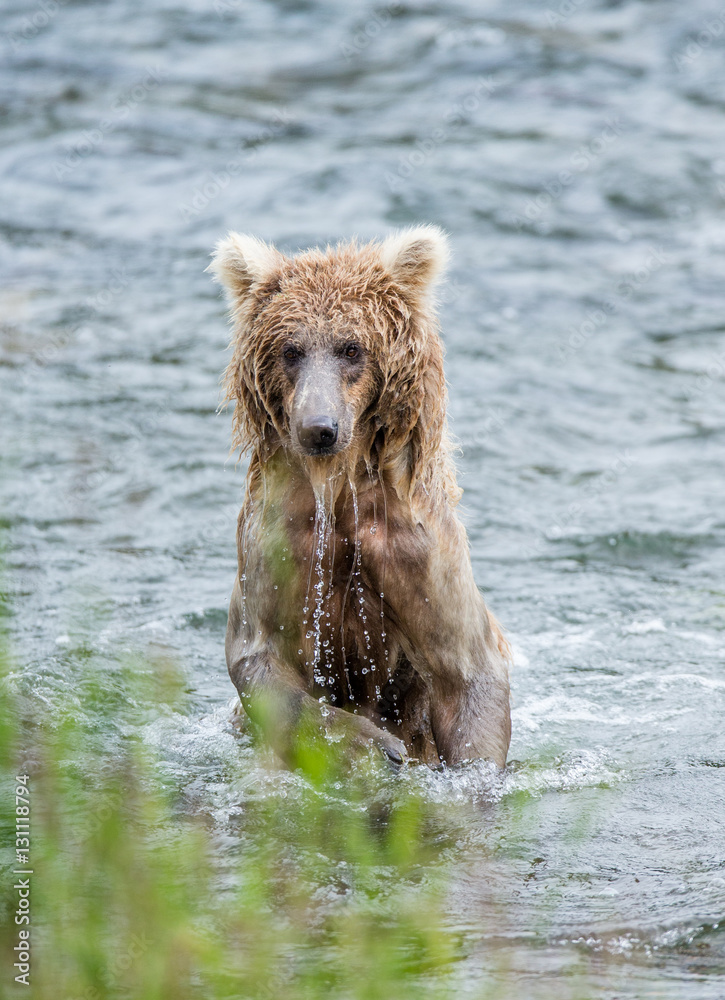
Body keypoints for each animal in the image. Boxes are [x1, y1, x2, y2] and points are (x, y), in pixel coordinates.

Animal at [208, 225, 511, 768]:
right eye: (291, 350)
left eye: (351, 348)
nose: (319, 428)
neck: (337, 489)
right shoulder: (276, 542)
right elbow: (260, 659)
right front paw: (373, 742)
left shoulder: (414, 547)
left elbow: (467, 671)